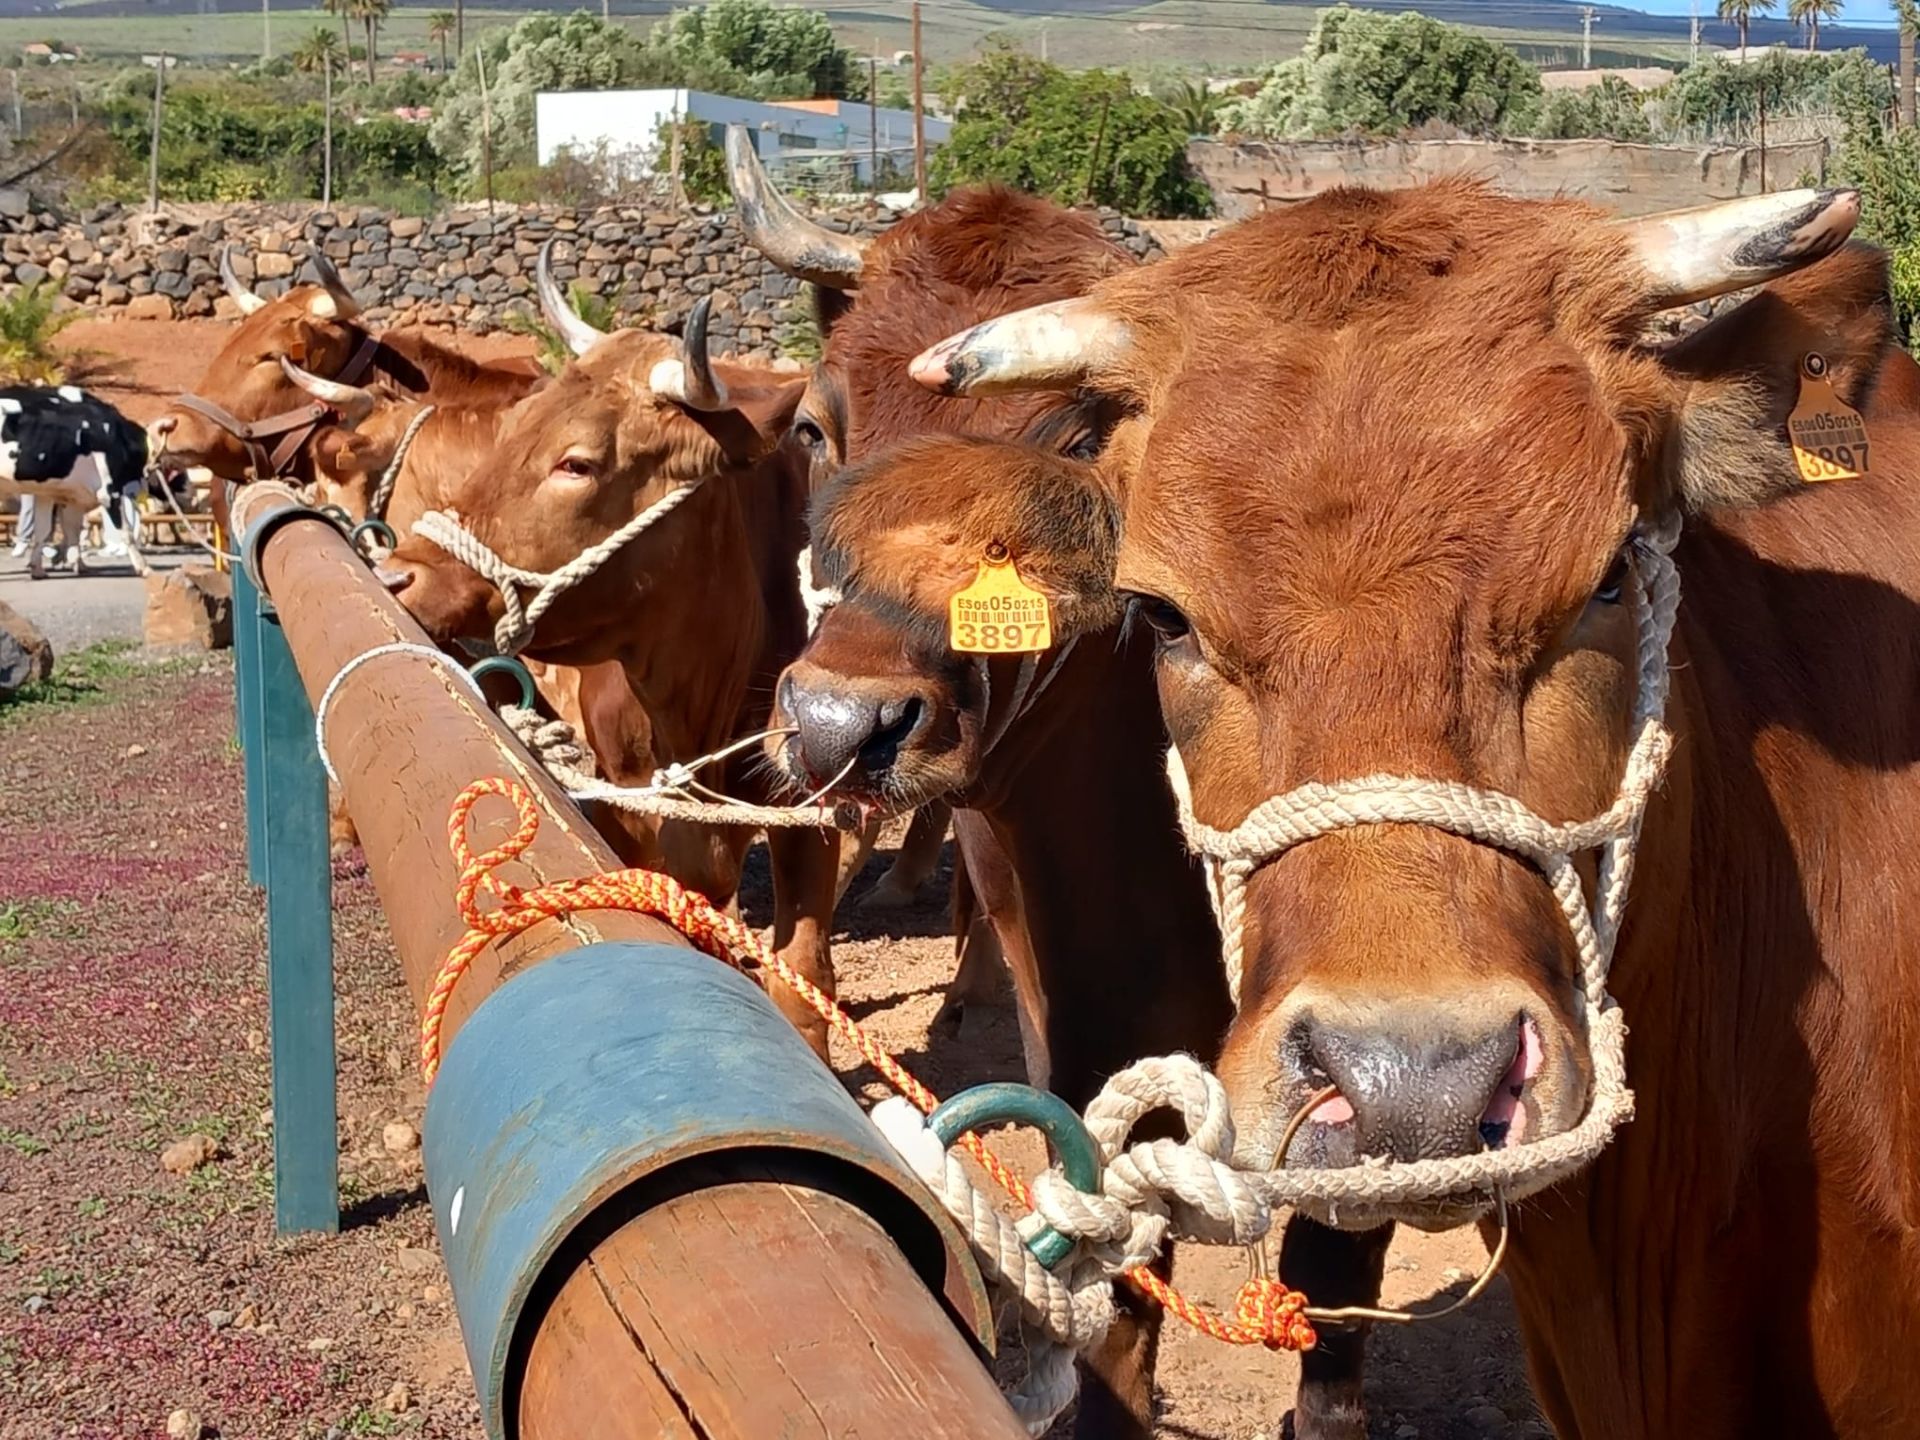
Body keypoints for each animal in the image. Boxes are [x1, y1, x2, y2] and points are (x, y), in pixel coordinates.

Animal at [0, 389, 150, 587]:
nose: (141, 488)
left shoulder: (54, 494)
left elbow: (53, 530)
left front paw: (42, 569)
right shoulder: (108, 491)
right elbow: (125, 531)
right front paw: (143, 567)